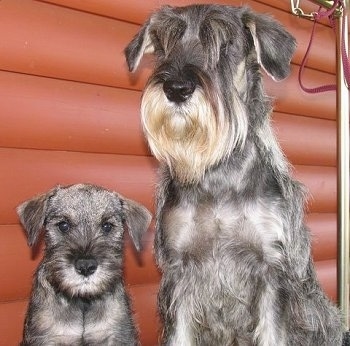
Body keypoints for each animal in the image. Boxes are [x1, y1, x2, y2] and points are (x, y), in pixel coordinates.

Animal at [16, 182, 150, 344]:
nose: (86, 266)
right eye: (63, 225)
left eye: (107, 226)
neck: (83, 300)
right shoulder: (45, 338)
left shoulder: (118, 336)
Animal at [123, 3, 344, 346]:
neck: (216, 174)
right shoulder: (178, 269)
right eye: (163, 45)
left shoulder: (271, 268)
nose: (176, 89)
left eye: (224, 44)